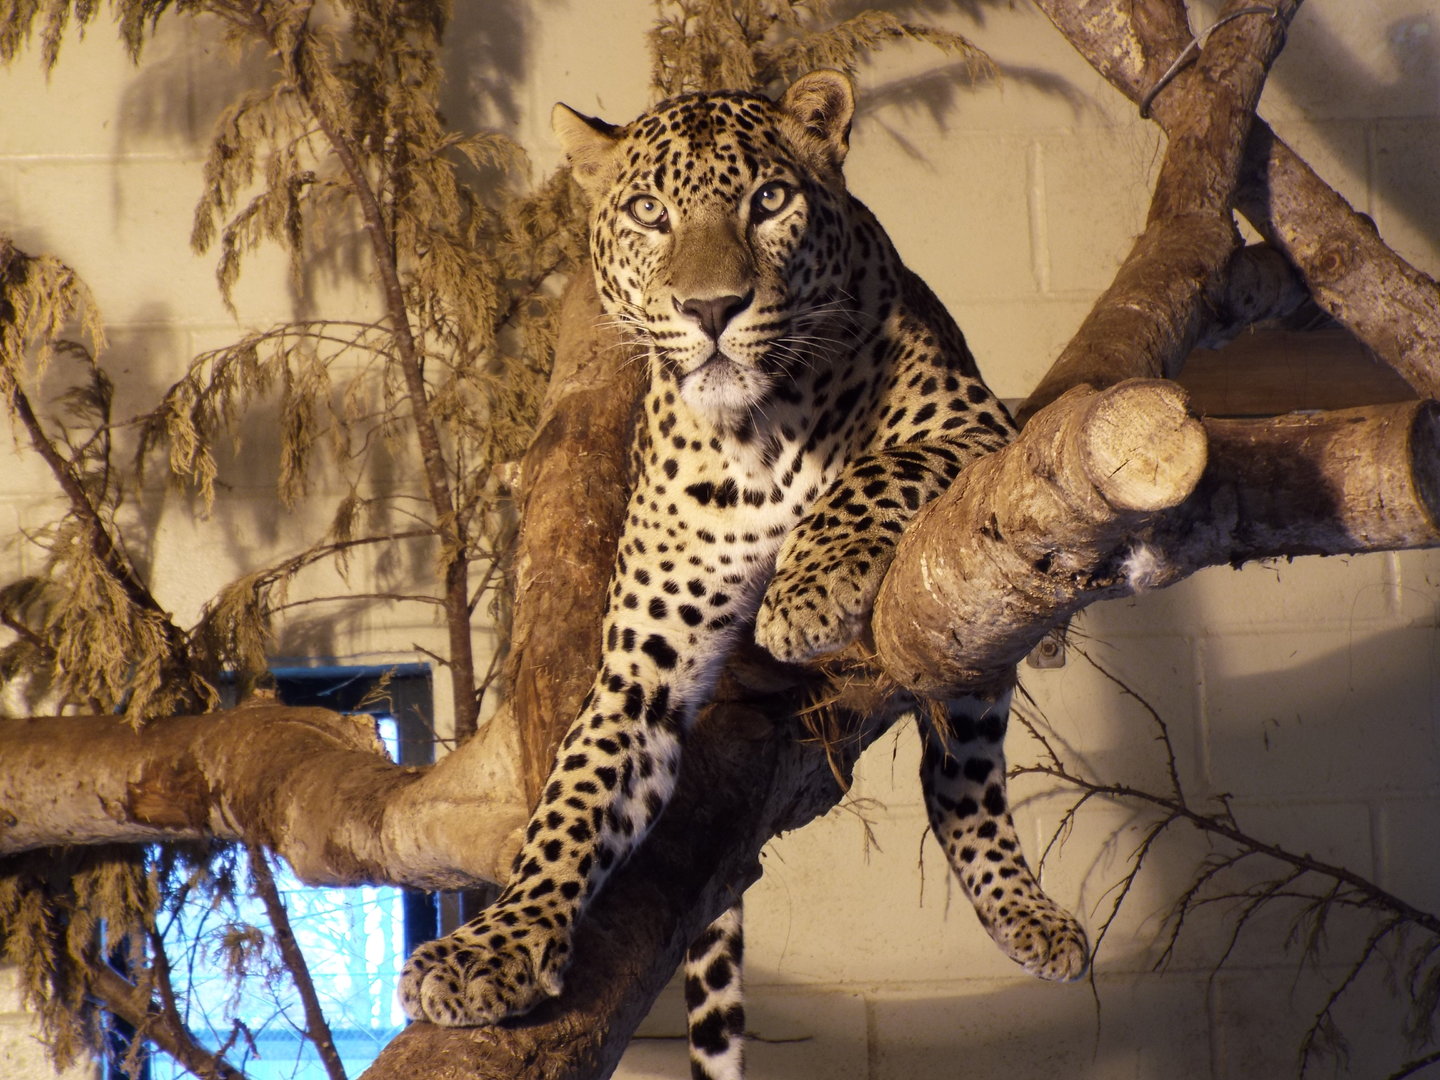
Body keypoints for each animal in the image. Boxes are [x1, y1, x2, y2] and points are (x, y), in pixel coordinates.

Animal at [399, 69, 1088, 1076]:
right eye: (649, 213)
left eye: (767, 201)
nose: (712, 309)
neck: (758, 432)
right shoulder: (639, 675)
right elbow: (571, 802)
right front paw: (496, 944)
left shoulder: (980, 428)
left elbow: (878, 467)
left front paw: (807, 589)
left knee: (962, 767)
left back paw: (1028, 909)